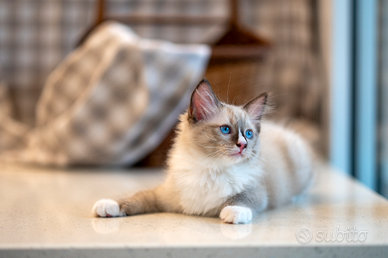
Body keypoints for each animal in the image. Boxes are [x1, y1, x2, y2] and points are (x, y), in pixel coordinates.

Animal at [92, 78, 314, 224]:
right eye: (226, 130)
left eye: (249, 134)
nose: (243, 145)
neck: (210, 168)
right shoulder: (163, 195)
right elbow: (136, 198)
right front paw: (108, 206)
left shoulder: (257, 191)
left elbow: (242, 199)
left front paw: (233, 212)